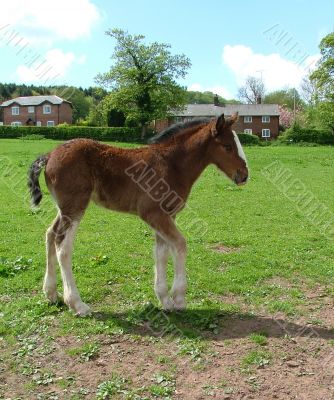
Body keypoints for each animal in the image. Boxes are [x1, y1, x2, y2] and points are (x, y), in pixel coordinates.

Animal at [28, 113, 248, 316]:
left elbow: (161, 252)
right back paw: (77, 304)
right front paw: (178, 298)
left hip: (64, 208)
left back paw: (51, 293)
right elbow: (180, 244)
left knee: (50, 234)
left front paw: (164, 299)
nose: (244, 175)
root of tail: (49, 155)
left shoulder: (167, 216)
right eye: (228, 146)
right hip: (75, 207)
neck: (172, 165)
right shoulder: (153, 214)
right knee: (63, 247)